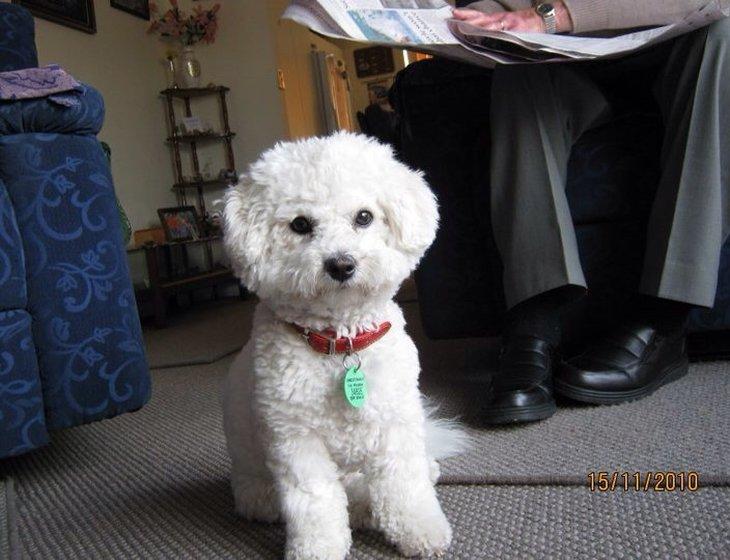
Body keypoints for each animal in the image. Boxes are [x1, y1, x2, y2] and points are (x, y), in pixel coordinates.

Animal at [220, 132, 466, 560]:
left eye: (364, 217)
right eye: (301, 224)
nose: (341, 264)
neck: (341, 341)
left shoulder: (396, 422)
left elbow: (404, 484)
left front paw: (421, 529)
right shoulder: (296, 441)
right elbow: (315, 501)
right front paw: (316, 548)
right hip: (256, 488)